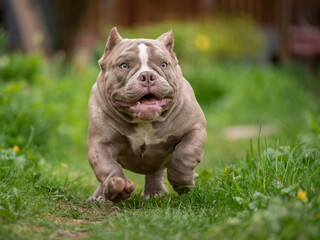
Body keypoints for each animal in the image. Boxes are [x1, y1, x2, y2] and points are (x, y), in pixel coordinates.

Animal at [87, 27, 206, 202]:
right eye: (124, 66)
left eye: (163, 64)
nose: (147, 76)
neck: (145, 122)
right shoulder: (101, 143)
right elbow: (107, 165)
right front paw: (117, 186)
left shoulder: (195, 128)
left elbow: (184, 154)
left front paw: (182, 182)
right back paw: (99, 197)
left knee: (157, 170)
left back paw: (156, 192)